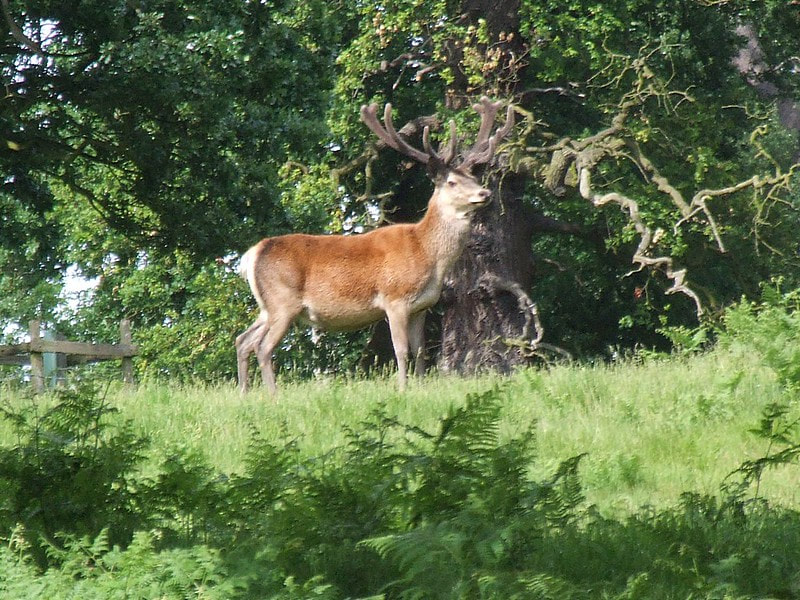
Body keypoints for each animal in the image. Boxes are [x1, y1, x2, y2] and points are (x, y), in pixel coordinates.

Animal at [236, 97, 514, 395]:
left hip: (268, 306)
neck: (426, 253)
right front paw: (402, 389)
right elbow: (401, 350)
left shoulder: (422, 306)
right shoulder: (395, 299)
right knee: (262, 347)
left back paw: (244, 393)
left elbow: (420, 351)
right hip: (283, 301)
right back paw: (273, 395)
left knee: (243, 340)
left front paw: (420, 386)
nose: (484, 193)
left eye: (475, 179)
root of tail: (252, 254)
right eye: (452, 182)